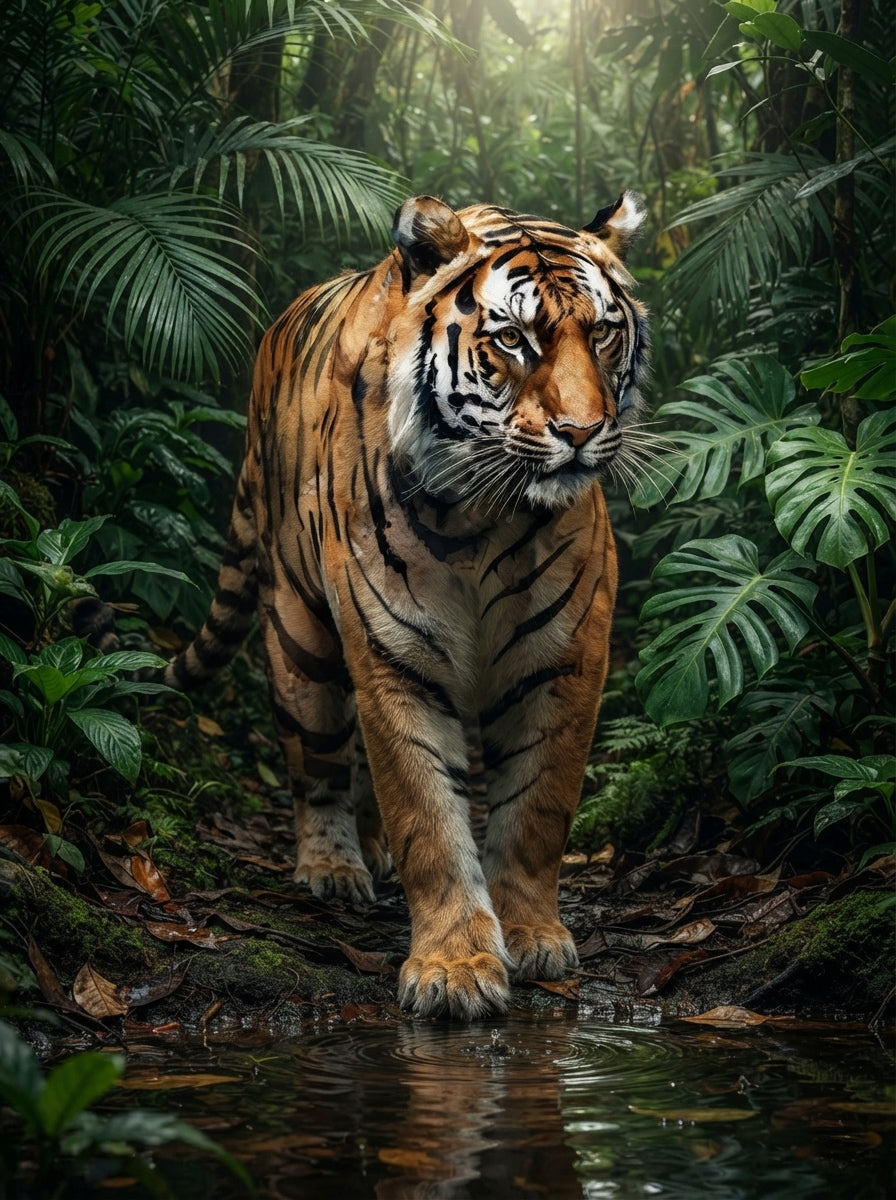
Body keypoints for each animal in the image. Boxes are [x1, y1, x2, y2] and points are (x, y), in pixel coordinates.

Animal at [159, 192, 649, 1020]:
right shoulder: (396, 654)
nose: (583, 434)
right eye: (513, 339)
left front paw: (531, 936)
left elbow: (535, 809)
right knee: (319, 761)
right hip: (299, 636)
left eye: (603, 333)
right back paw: (333, 867)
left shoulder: (564, 661)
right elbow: (426, 809)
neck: (485, 517)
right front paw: (454, 968)